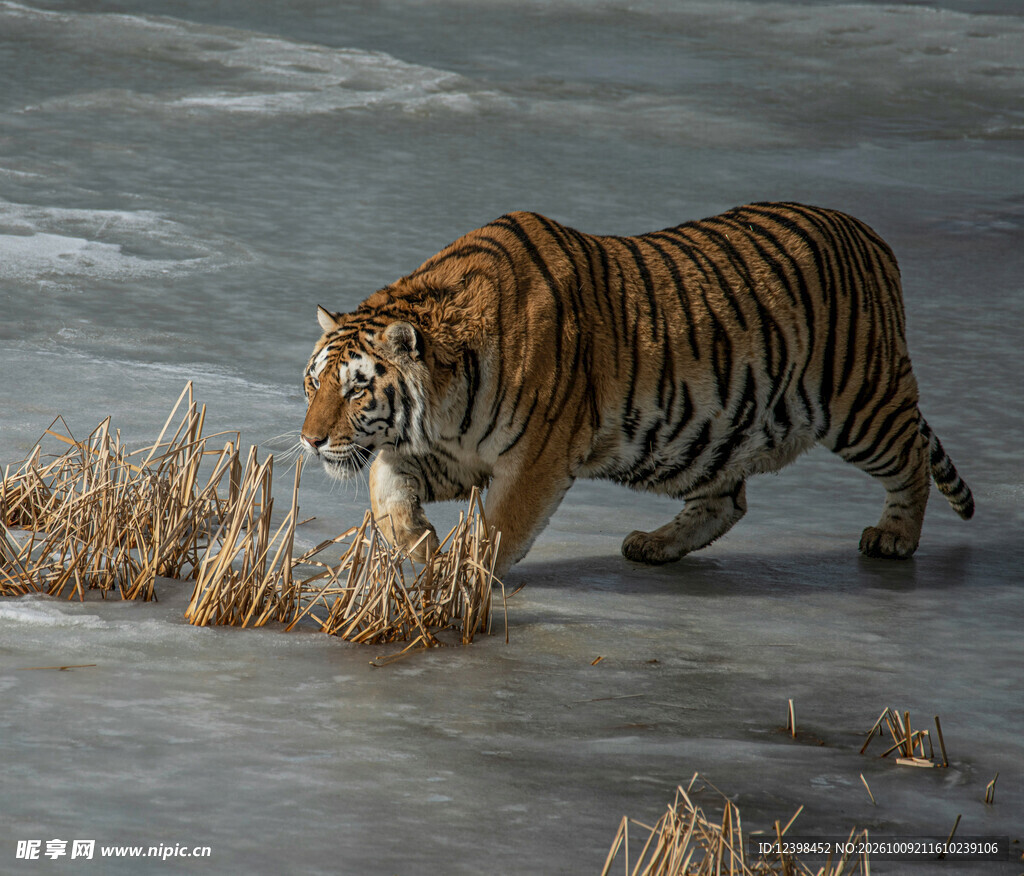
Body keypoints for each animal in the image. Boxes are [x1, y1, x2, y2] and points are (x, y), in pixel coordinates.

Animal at [300, 202, 973, 578]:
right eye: (312, 385)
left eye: (356, 391)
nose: (309, 442)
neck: (446, 400)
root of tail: (875, 239)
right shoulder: (455, 451)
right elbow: (384, 481)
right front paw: (418, 544)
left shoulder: (537, 456)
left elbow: (499, 525)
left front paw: (459, 576)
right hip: (708, 435)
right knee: (728, 501)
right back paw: (654, 544)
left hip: (861, 403)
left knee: (911, 460)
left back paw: (894, 537)